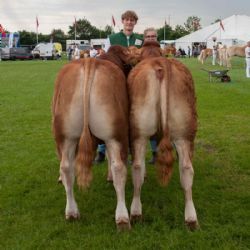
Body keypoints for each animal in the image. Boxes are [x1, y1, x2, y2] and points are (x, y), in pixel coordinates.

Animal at [51, 45, 136, 230]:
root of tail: (89, 61)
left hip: (65, 135)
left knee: (66, 167)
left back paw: (72, 212)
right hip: (116, 134)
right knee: (119, 167)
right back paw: (122, 217)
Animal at [128, 41, 198, 230]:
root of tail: (161, 64)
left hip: (140, 132)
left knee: (138, 166)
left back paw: (136, 211)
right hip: (183, 133)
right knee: (186, 168)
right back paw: (191, 217)